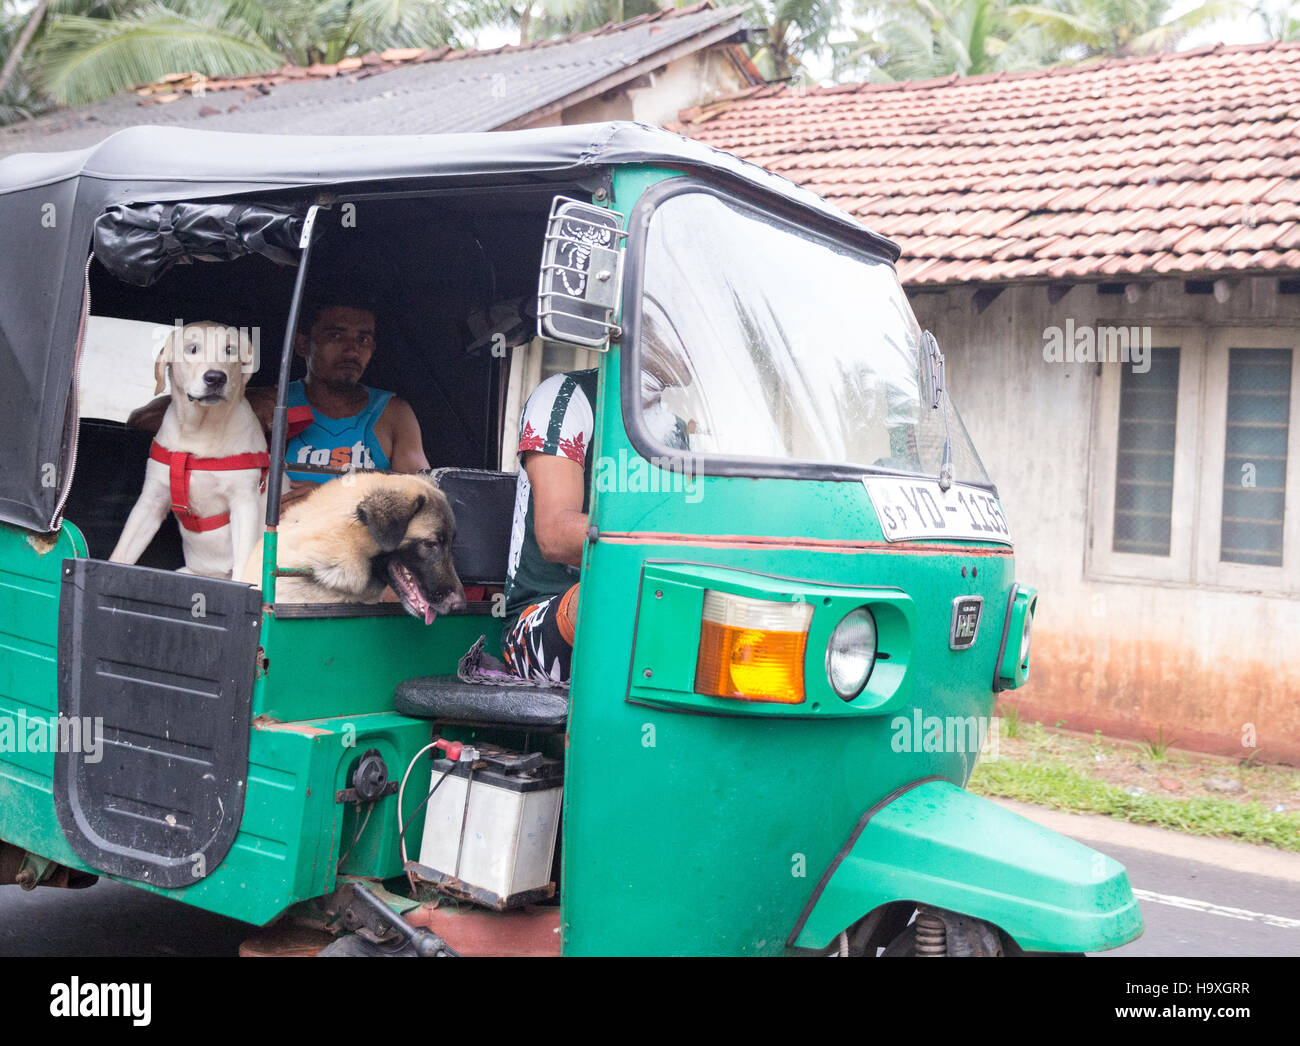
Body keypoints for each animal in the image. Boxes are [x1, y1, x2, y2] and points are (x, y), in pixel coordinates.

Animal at [113, 320, 270, 579]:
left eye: (230, 350)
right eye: (192, 348)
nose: (216, 378)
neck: (200, 432)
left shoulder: (244, 503)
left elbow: (242, 564)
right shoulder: (151, 500)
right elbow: (121, 553)